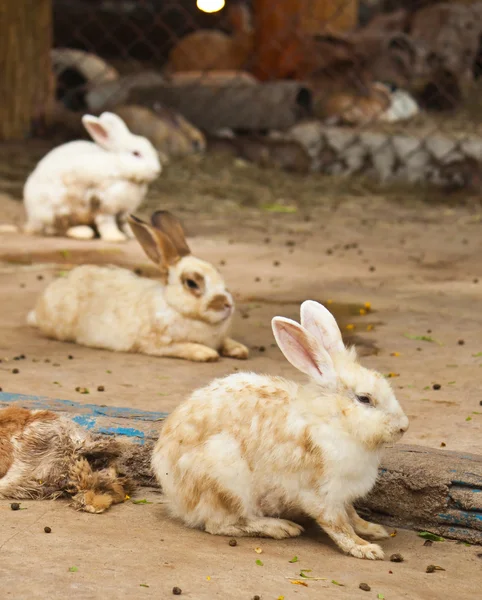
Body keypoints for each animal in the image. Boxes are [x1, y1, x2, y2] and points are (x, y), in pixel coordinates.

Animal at [23, 111, 162, 243]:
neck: (120, 169)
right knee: (59, 228)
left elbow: (126, 224)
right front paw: (115, 237)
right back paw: (83, 232)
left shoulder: (125, 211)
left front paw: (133, 235)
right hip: (56, 211)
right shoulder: (104, 205)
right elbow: (106, 222)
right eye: (136, 153)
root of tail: (31, 218)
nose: (157, 170)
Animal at [27, 209, 249, 364]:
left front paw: (240, 350)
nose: (227, 305)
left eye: (219, 273)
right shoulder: (158, 345)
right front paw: (207, 353)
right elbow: (184, 347)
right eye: (192, 283)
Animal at [153, 302, 408, 560]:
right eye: (364, 399)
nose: (403, 427)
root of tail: (174, 492)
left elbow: (352, 514)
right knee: (223, 524)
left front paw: (374, 530)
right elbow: (338, 525)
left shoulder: (343, 494)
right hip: (225, 482)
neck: (332, 420)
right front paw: (366, 549)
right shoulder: (323, 494)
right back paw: (280, 527)